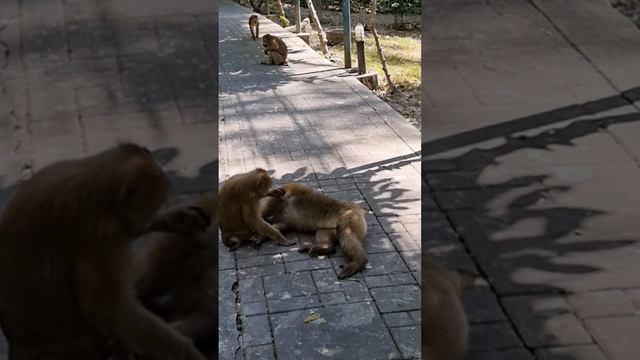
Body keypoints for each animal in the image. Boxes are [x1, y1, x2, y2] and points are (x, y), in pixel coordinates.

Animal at [0, 143, 205, 360]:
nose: (146, 220)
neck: (93, 182)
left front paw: (174, 218)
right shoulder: (98, 236)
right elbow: (110, 310)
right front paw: (187, 352)